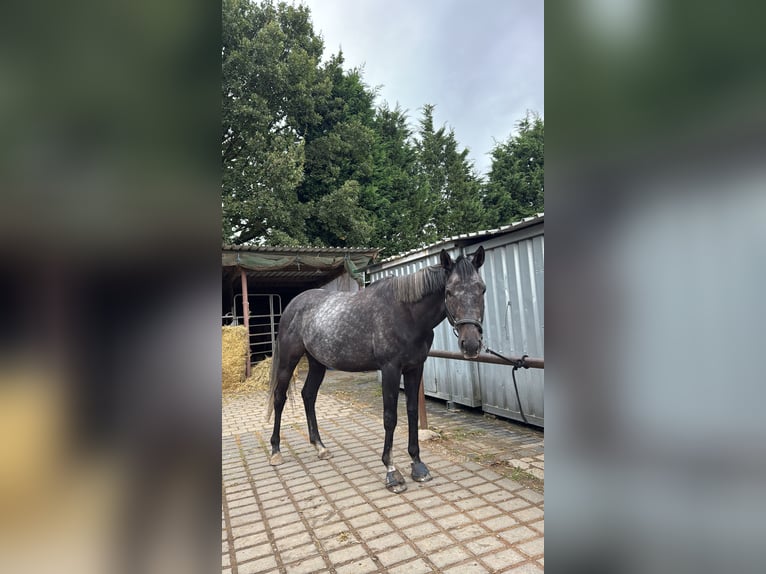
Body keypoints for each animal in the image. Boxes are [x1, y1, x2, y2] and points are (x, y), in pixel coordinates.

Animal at [268, 248, 486, 496]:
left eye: (482, 289)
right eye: (449, 291)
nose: (471, 345)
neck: (407, 314)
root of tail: (292, 306)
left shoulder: (414, 368)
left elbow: (412, 412)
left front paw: (418, 465)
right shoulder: (390, 369)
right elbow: (390, 418)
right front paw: (392, 472)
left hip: (317, 362)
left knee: (308, 395)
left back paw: (320, 447)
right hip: (288, 361)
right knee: (279, 398)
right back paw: (275, 451)